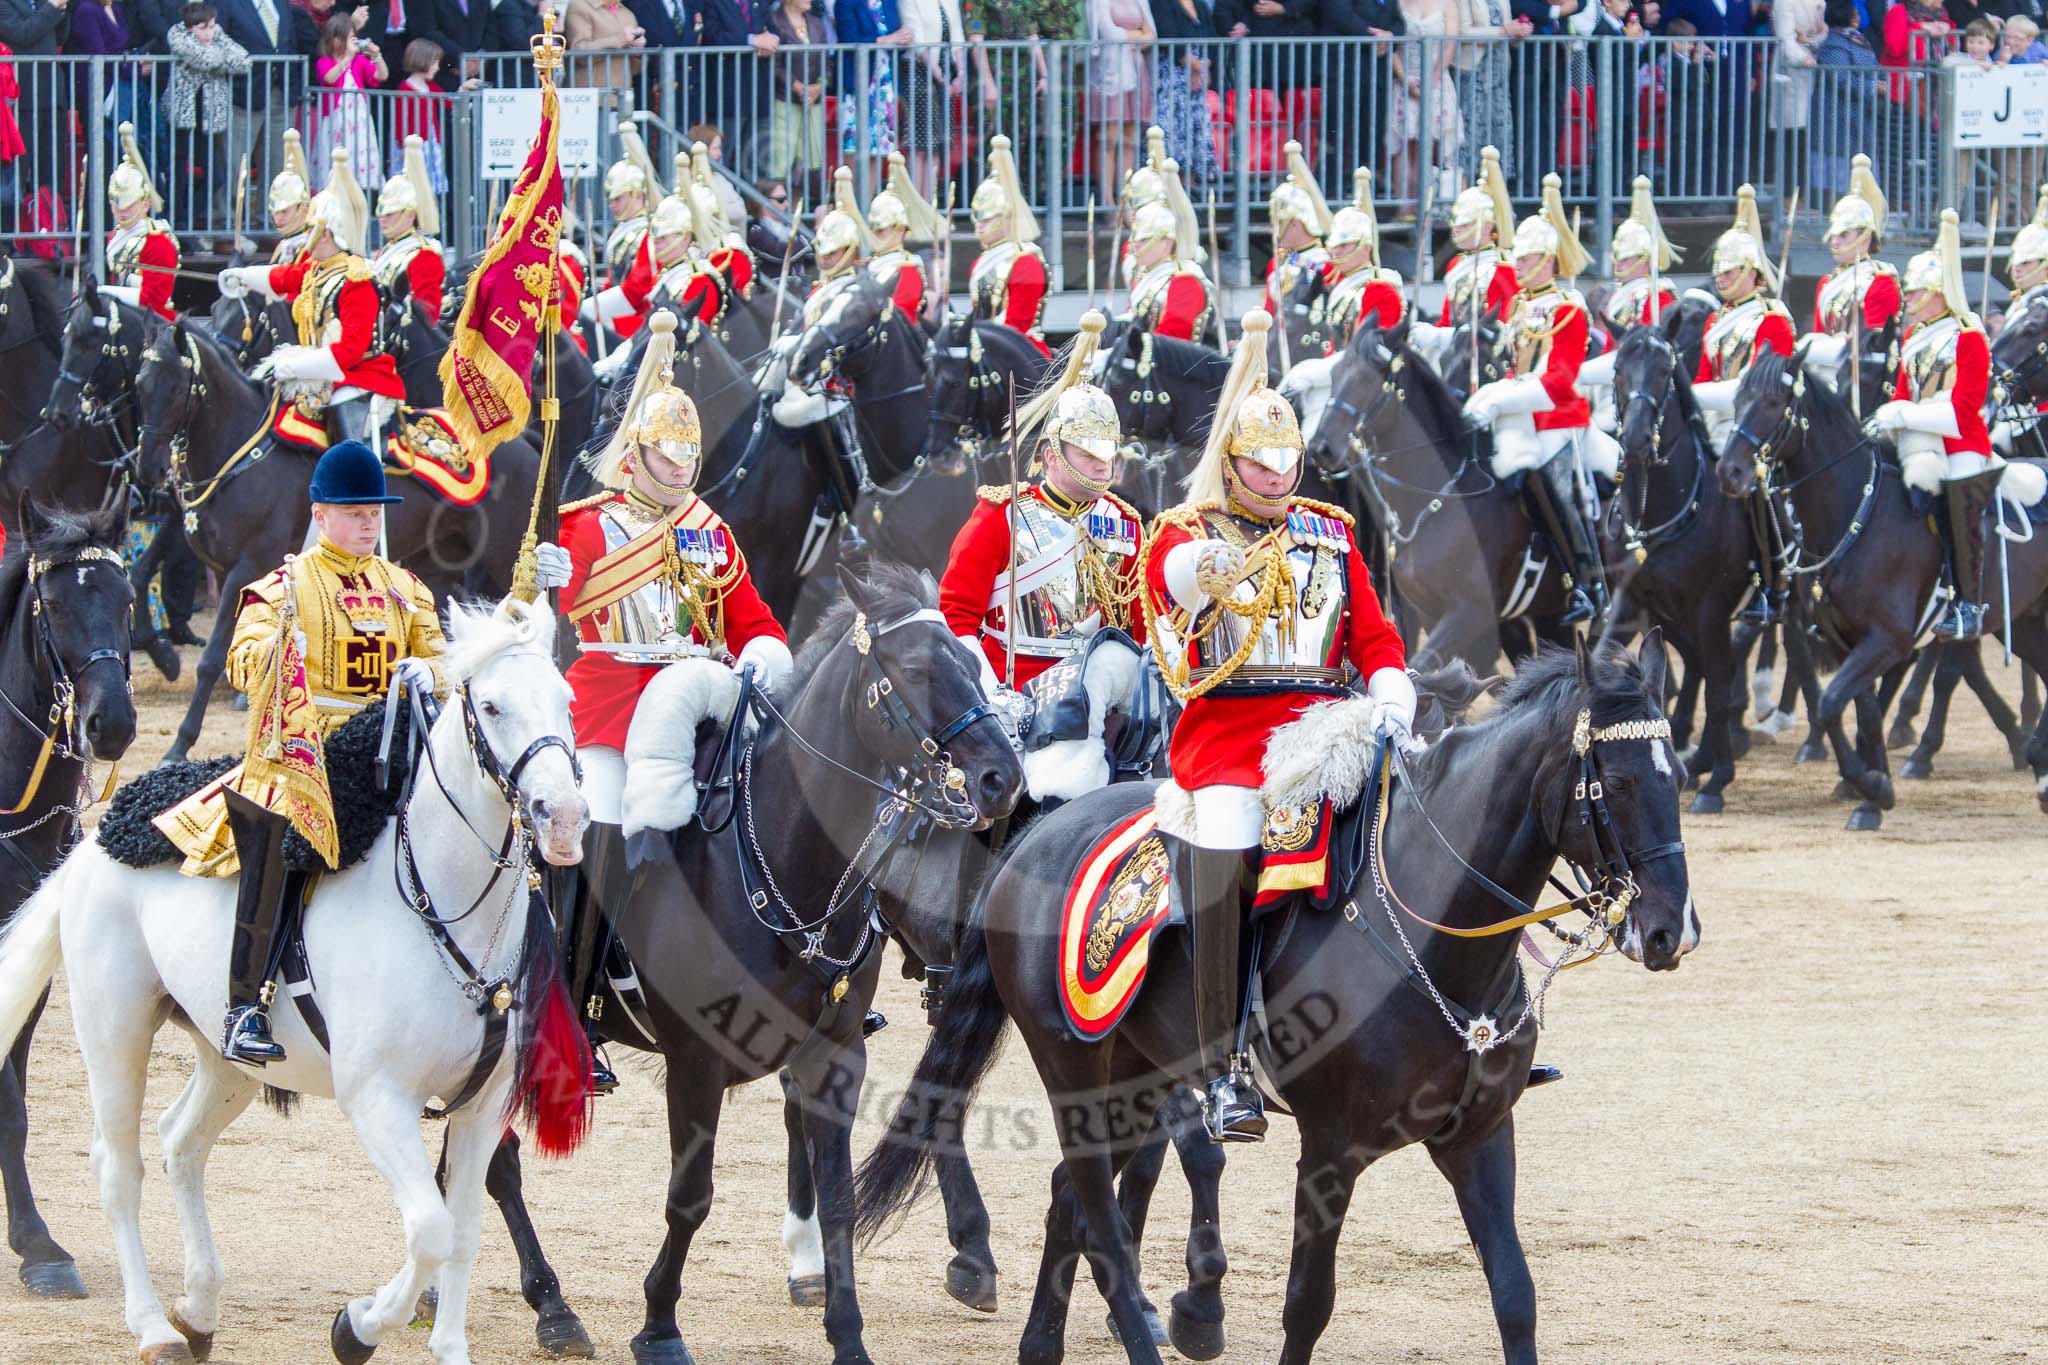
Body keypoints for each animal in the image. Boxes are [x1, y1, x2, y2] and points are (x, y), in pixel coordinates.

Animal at [0, 597, 593, 1365]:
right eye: (490, 705)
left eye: (566, 701)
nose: (564, 817)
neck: (441, 905)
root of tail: (95, 840)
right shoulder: (377, 1098)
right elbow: (430, 1229)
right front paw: (357, 1327)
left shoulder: (483, 1107)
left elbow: (461, 1232)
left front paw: (441, 1344)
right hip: (113, 1027)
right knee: (119, 1167)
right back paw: (154, 1325)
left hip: (225, 1057)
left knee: (179, 1140)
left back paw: (198, 1309)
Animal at [851, 642, 1695, 1365]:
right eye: (1616, 781)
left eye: (1674, 775)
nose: (1669, 930)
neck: (1431, 934)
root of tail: (1034, 835)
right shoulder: (1331, 1146)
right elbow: (1307, 1301)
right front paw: (1203, 1308)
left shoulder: (1479, 1137)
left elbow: (1515, 1293)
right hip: (1076, 1076)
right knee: (1100, 1224)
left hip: (1137, 1077)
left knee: (1071, 1201)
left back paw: (1041, 1344)